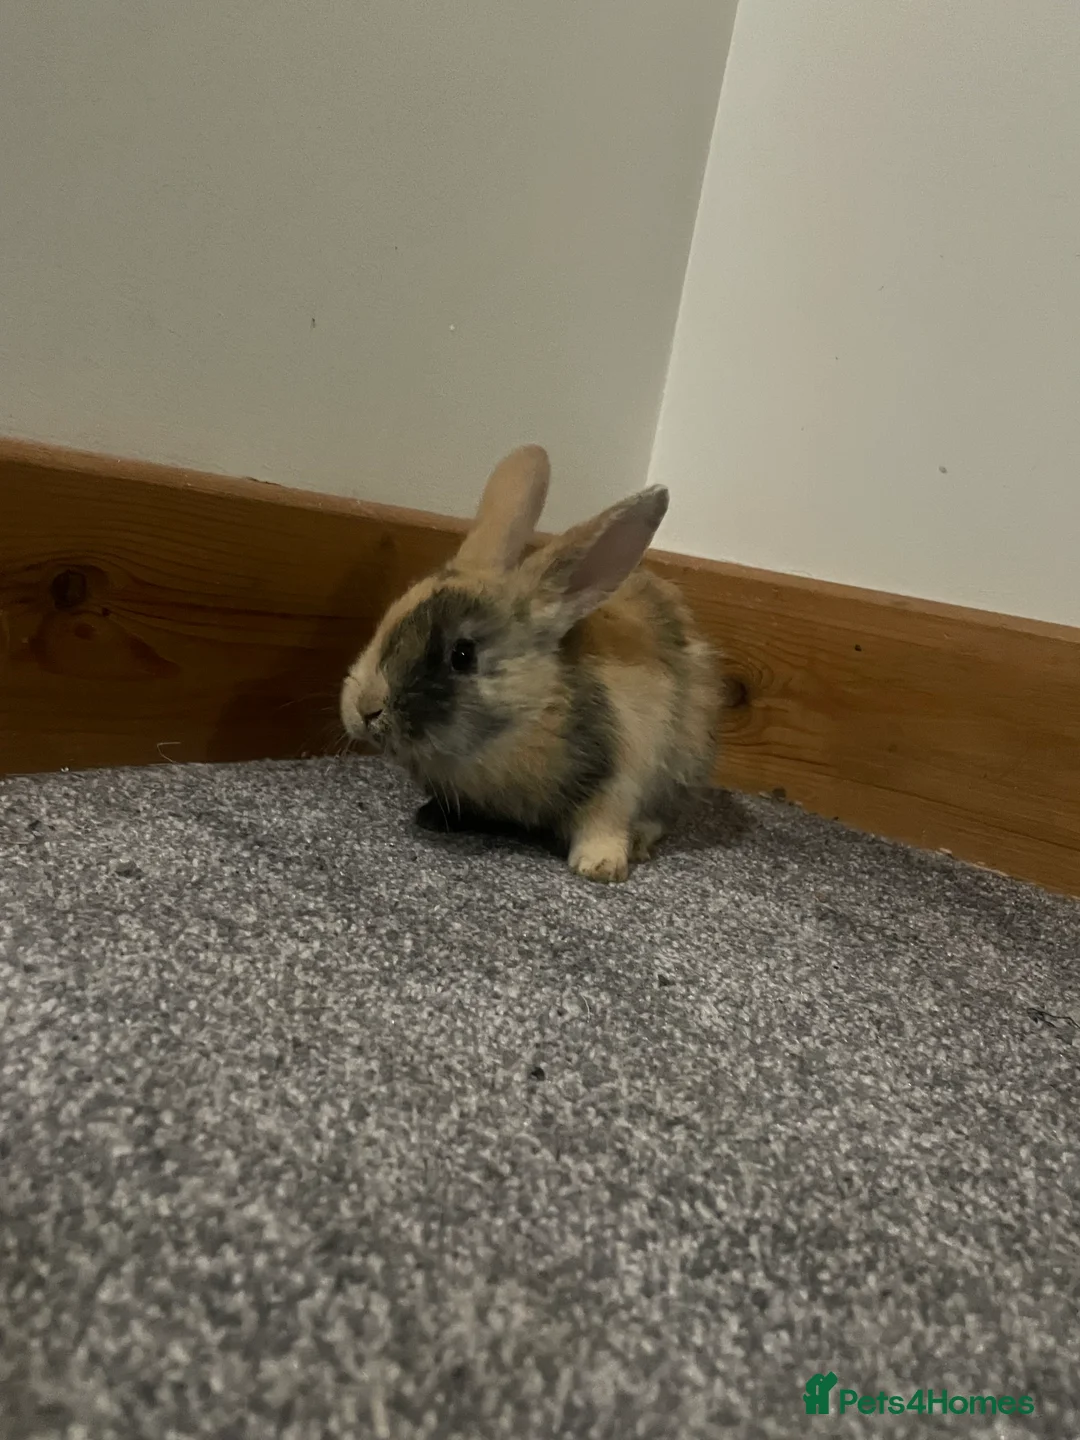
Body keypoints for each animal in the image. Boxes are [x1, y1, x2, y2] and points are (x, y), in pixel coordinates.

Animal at [340, 445, 719, 882]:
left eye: (462, 655)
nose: (365, 709)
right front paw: (433, 817)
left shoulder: (620, 773)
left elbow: (603, 821)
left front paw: (599, 866)